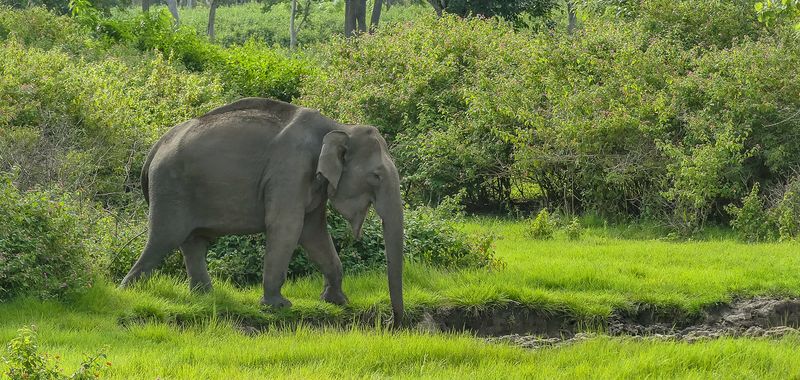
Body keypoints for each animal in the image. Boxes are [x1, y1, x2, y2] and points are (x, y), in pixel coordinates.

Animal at [119, 97, 406, 320]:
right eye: (376, 176)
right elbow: (287, 227)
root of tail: (157, 145)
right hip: (170, 188)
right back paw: (126, 293)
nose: (396, 322)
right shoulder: (290, 171)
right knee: (163, 239)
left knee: (194, 243)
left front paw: (337, 301)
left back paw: (206, 297)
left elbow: (314, 232)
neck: (337, 126)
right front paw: (279, 306)